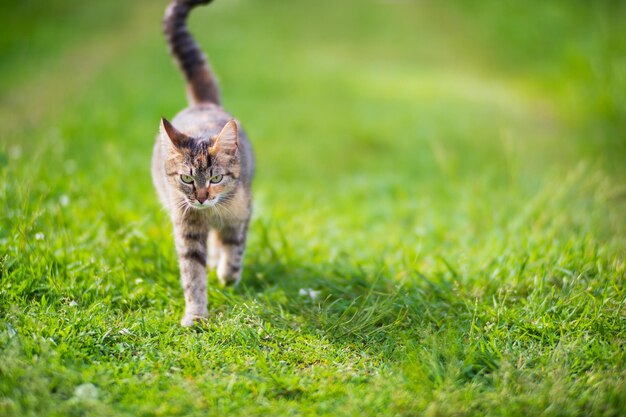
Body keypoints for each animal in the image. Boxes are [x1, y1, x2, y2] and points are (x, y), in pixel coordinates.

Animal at [150, 0, 252, 324]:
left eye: (216, 178)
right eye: (187, 178)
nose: (202, 197)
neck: (211, 214)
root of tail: (202, 104)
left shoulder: (241, 214)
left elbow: (234, 250)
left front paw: (227, 275)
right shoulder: (187, 227)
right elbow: (192, 272)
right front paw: (195, 315)